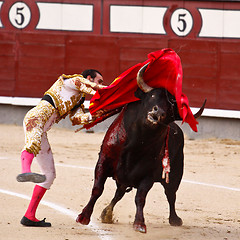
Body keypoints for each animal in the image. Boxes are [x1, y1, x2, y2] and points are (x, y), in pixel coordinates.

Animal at [76, 62, 205, 233]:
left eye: (170, 107)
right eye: (152, 97)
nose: (158, 112)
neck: (135, 143)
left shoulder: (148, 175)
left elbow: (140, 198)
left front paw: (139, 223)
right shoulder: (103, 161)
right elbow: (97, 189)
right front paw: (84, 216)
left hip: (175, 174)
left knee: (171, 195)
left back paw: (175, 219)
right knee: (119, 193)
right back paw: (106, 213)